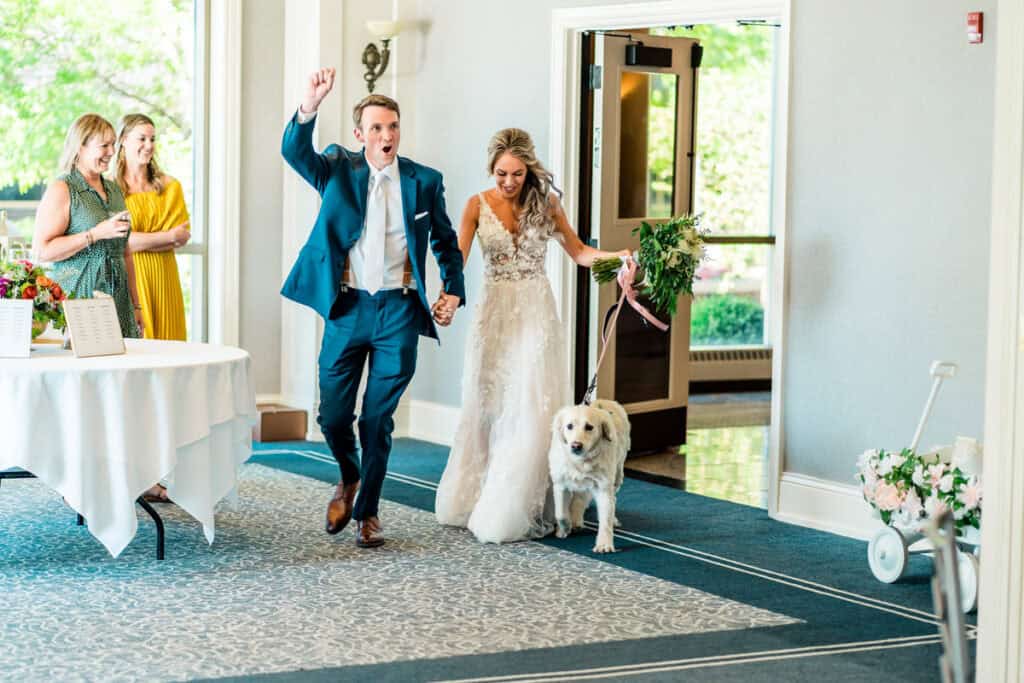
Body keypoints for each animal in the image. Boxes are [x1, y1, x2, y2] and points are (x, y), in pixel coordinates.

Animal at [548, 397, 626, 552]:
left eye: (589, 427)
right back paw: (576, 520)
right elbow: (560, 513)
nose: (576, 446)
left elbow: (606, 519)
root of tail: (605, 401)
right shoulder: (560, 483)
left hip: (617, 475)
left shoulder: (603, 487)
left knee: (612, 499)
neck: (581, 461)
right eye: (569, 426)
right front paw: (564, 528)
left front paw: (604, 544)